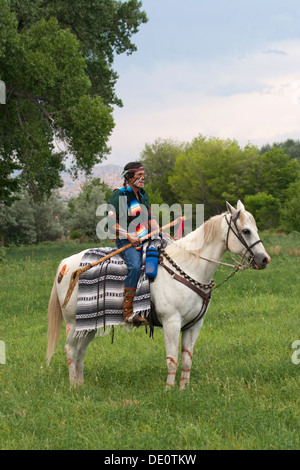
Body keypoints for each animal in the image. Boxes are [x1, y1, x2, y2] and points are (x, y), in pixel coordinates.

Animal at [47, 202, 272, 390]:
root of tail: (65, 265)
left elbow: (187, 359)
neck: (188, 266)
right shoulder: (171, 322)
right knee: (70, 350)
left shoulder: (194, 325)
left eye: (255, 229)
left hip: (87, 326)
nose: (264, 259)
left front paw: (183, 390)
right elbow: (172, 359)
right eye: (246, 231)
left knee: (80, 351)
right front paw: (169, 391)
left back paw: (81, 384)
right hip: (72, 323)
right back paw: (74, 387)